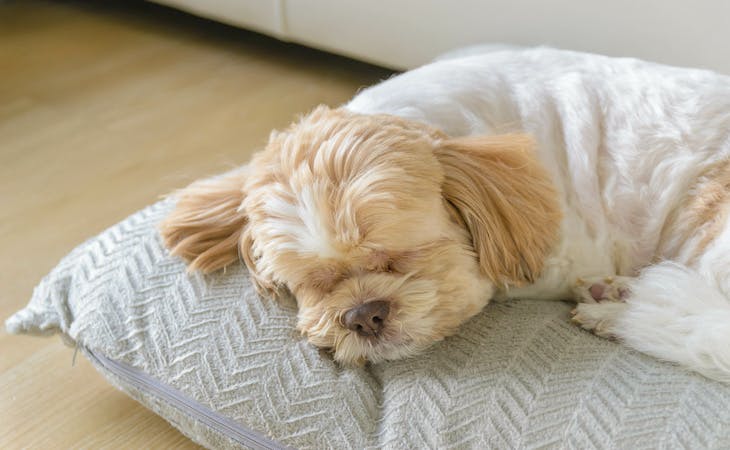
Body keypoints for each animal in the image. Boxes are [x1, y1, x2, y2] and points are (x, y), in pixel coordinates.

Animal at [162, 48, 728, 380]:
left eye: (403, 256)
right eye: (312, 283)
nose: (363, 315)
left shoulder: (559, 250)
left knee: (709, 332)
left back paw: (615, 314)